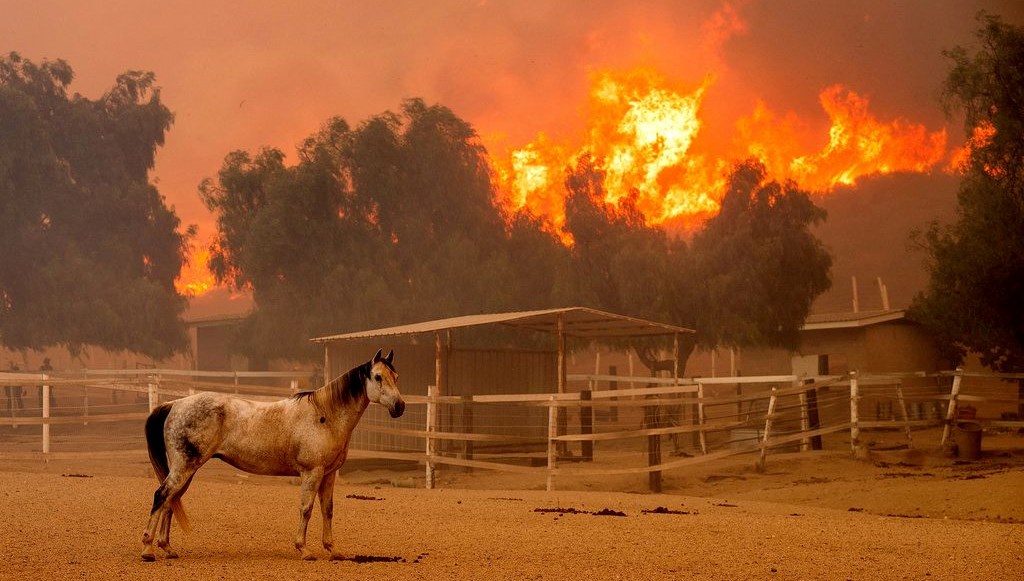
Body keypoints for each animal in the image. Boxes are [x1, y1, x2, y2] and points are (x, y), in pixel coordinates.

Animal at [141, 348, 403, 561]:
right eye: (378, 377)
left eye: (396, 377)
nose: (399, 406)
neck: (325, 415)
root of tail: (175, 404)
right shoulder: (312, 472)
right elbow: (306, 508)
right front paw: (304, 550)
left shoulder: (328, 475)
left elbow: (327, 510)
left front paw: (333, 550)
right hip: (184, 467)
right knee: (161, 496)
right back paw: (148, 550)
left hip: (187, 470)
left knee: (170, 500)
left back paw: (167, 548)